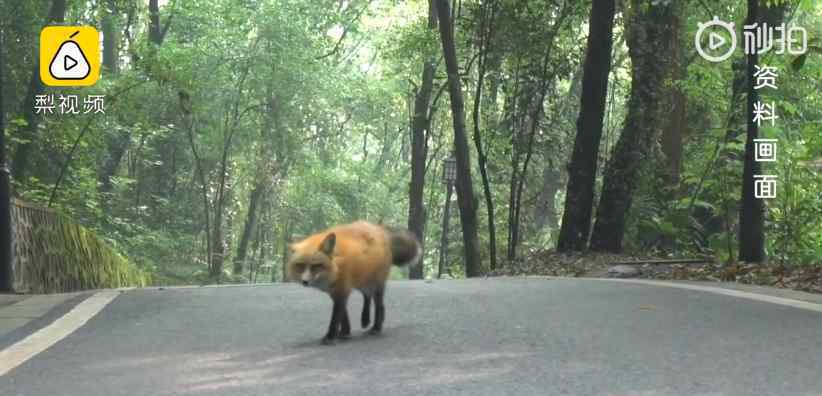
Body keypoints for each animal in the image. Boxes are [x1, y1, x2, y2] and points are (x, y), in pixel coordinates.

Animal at [286, 221, 422, 344]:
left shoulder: (342, 290)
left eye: (316, 266)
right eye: (300, 265)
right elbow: (344, 315)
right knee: (367, 296)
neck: (336, 266)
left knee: (380, 305)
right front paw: (345, 332)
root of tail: (379, 228)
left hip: (376, 284)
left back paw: (376, 327)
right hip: (362, 281)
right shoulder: (336, 292)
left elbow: (335, 317)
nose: (305, 281)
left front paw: (330, 336)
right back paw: (365, 319)